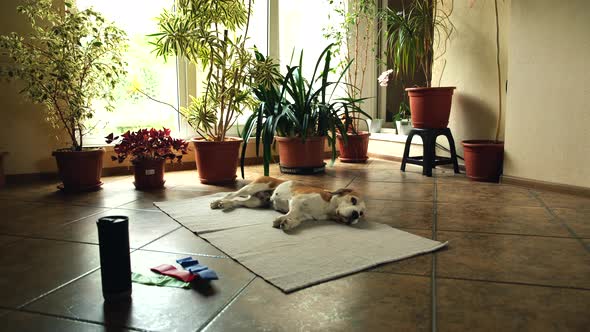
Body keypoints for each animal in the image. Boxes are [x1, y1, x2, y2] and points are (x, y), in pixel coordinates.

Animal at [210, 176, 368, 231]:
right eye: (353, 200)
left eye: (361, 213)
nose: (355, 215)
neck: (327, 207)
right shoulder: (297, 200)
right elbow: (292, 212)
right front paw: (284, 219)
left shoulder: (305, 216)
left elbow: (296, 219)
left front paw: (288, 222)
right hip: (253, 187)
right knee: (232, 194)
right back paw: (218, 201)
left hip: (254, 202)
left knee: (237, 201)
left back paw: (226, 204)